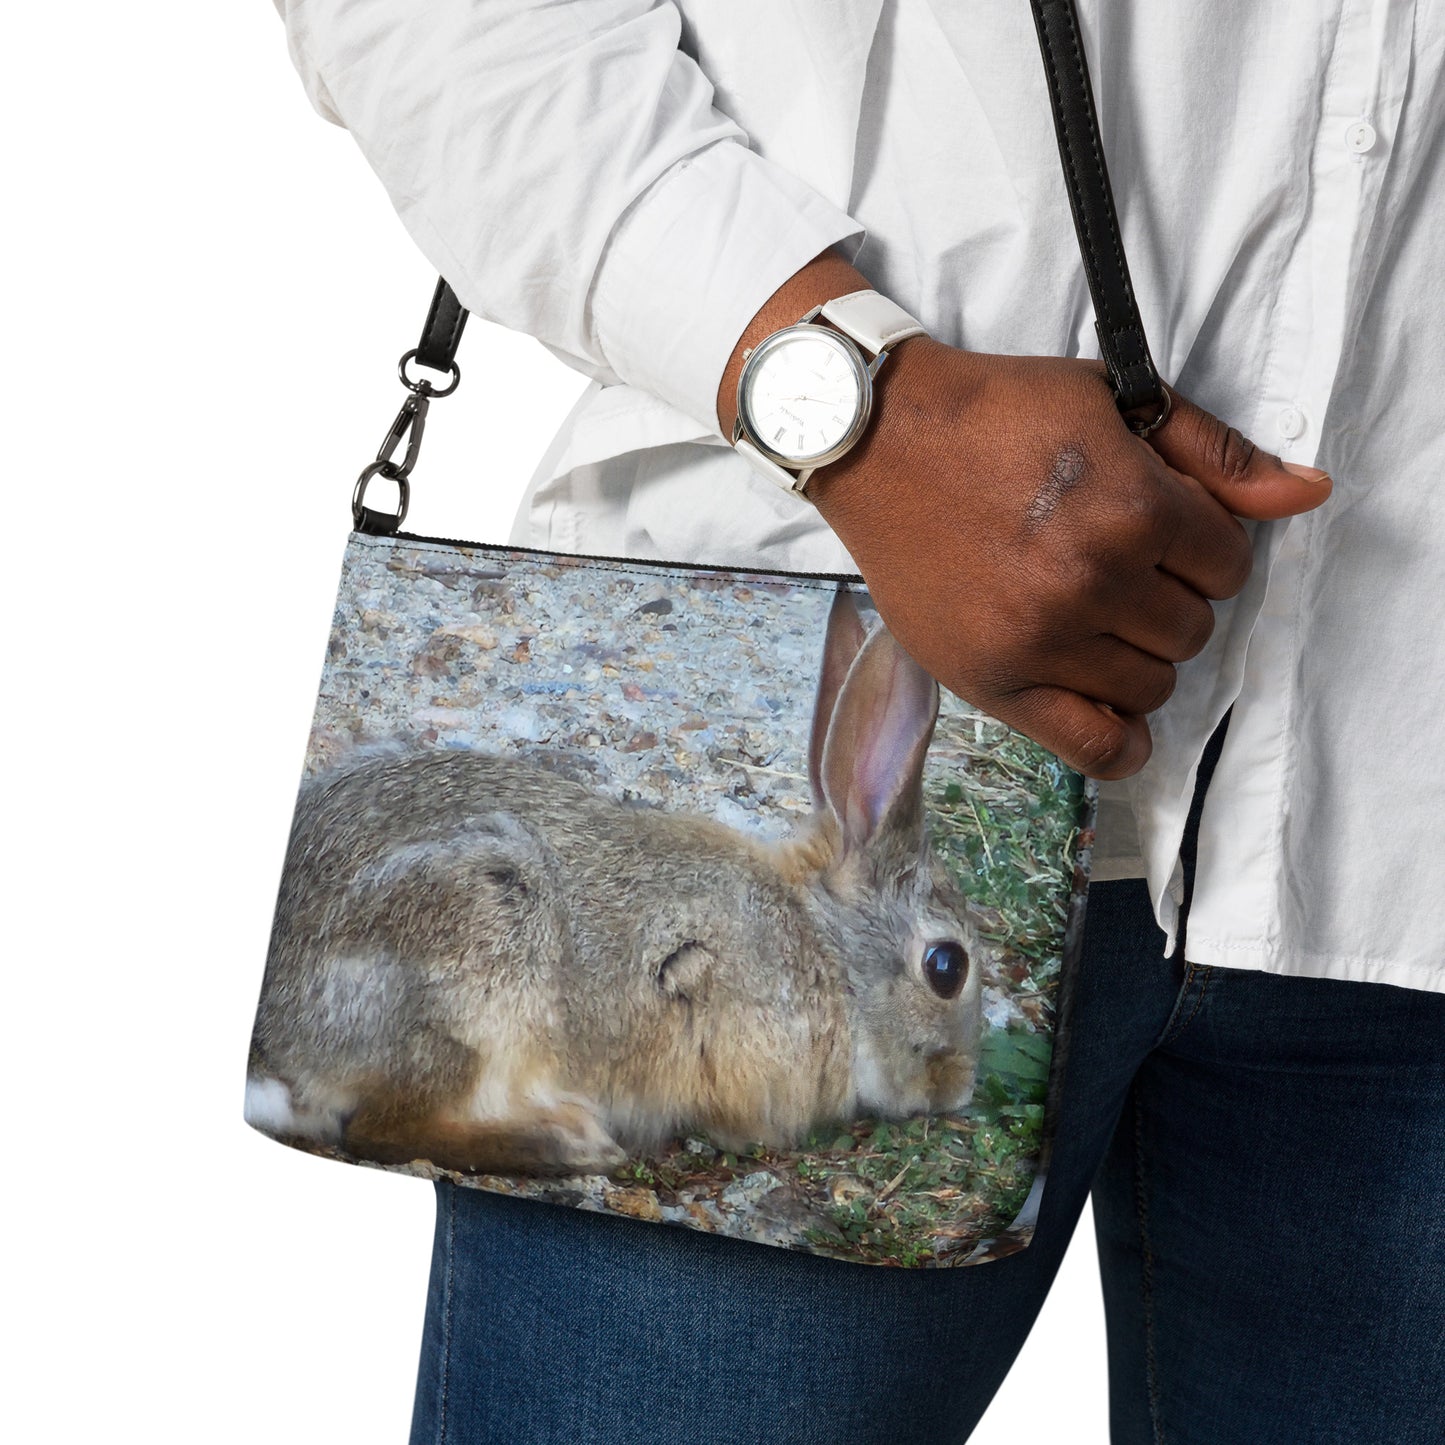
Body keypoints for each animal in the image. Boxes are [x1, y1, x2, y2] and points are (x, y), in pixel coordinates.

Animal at [245, 588, 985, 1177]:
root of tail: (275, 1050)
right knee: (381, 1127)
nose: (960, 1090)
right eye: (946, 966)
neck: (825, 947)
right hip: (481, 950)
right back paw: (571, 1143)